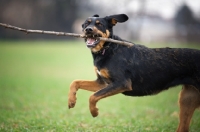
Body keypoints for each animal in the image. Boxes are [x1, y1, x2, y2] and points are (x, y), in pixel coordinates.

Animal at [68, 13, 199, 131]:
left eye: (99, 24)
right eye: (86, 24)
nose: (88, 30)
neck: (107, 48)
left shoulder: (122, 83)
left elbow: (92, 96)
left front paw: (94, 112)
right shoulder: (102, 83)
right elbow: (75, 82)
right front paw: (71, 100)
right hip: (187, 99)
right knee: (183, 127)